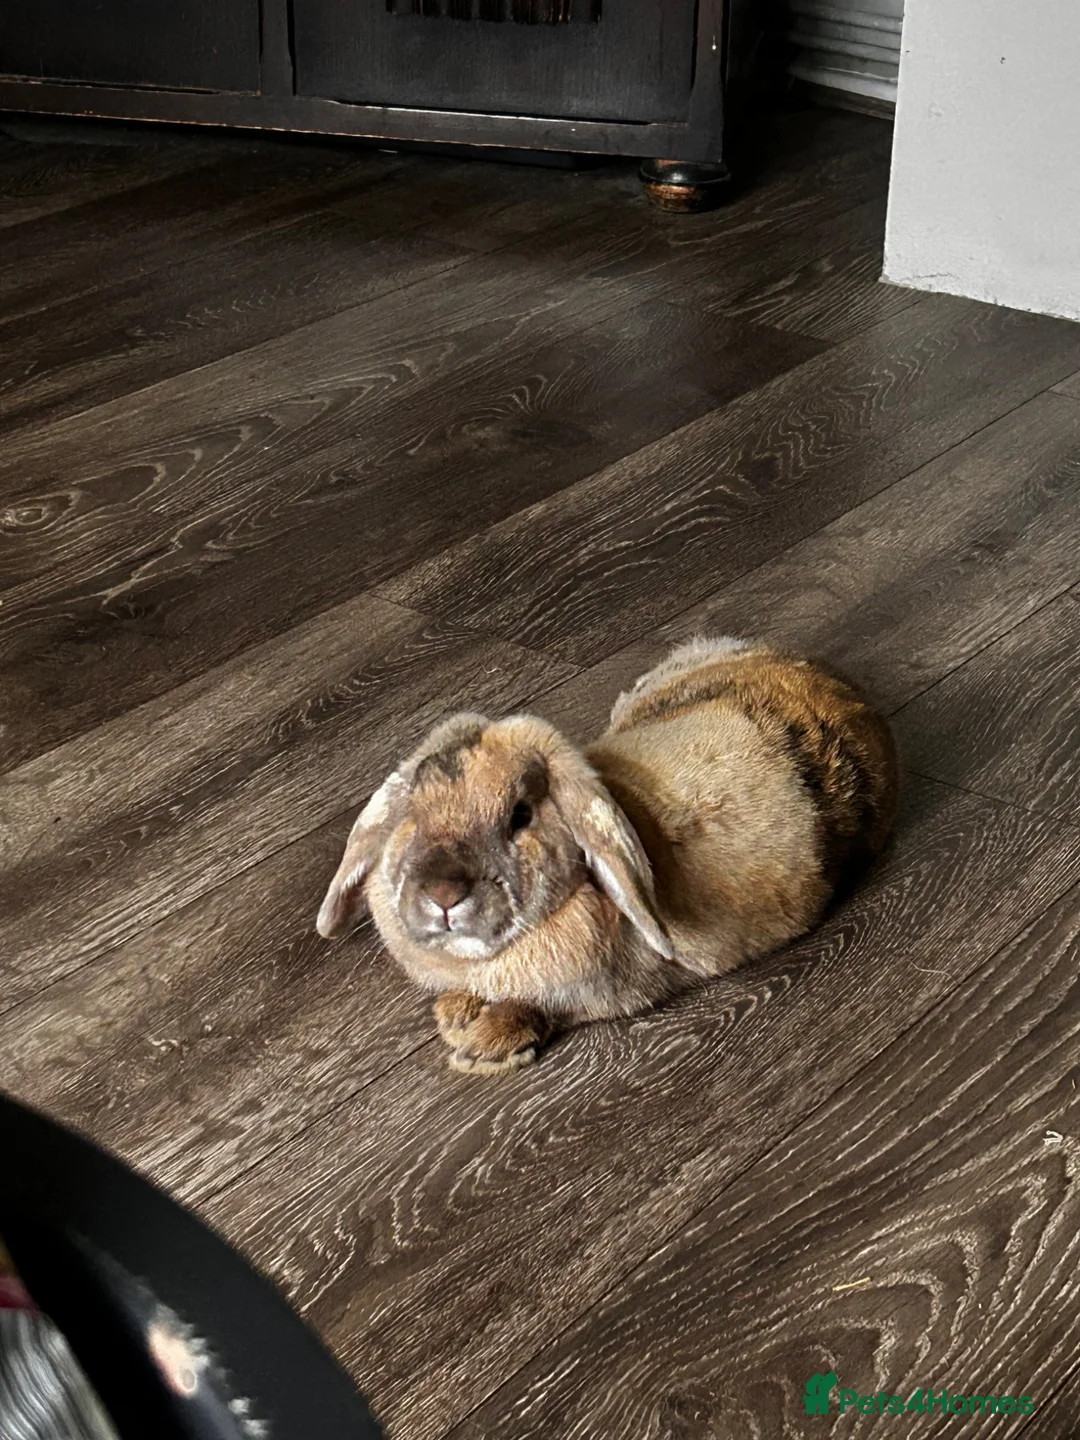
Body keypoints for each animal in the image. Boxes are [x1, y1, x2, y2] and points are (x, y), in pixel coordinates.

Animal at [316, 637, 899, 1075]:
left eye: (520, 815)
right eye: (411, 810)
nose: (442, 894)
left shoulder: (604, 992)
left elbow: (553, 1010)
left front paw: (479, 1044)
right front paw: (455, 1013)